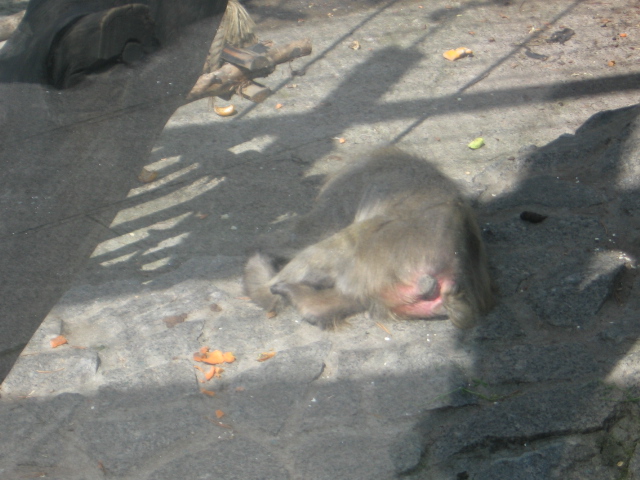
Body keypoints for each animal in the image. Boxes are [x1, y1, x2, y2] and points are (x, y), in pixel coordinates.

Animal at [244, 147, 495, 330]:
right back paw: (310, 306)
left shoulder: (346, 190)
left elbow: (308, 232)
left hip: (375, 256)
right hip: (383, 282)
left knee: (333, 250)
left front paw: (262, 246)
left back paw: (264, 284)